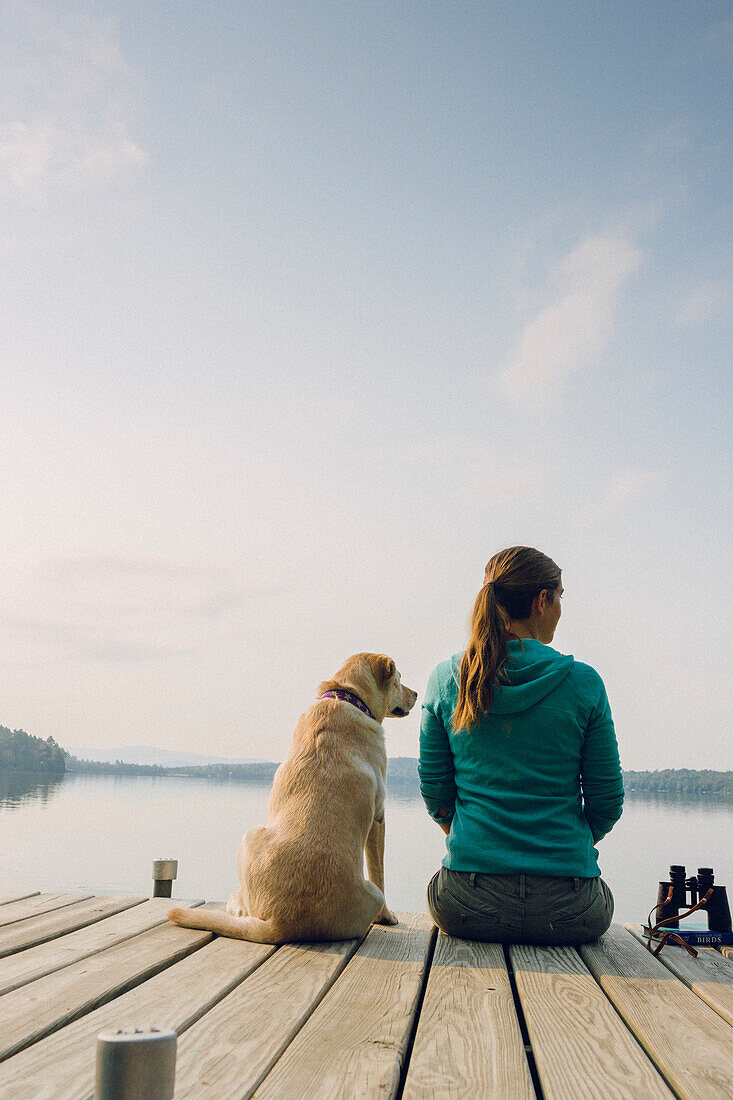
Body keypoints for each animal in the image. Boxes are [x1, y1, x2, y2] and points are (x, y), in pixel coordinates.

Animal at [167, 651, 413, 946]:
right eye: (399, 679)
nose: (416, 694)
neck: (345, 696)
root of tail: (280, 923)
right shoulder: (379, 817)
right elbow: (380, 872)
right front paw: (387, 916)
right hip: (254, 837)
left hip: (250, 836)